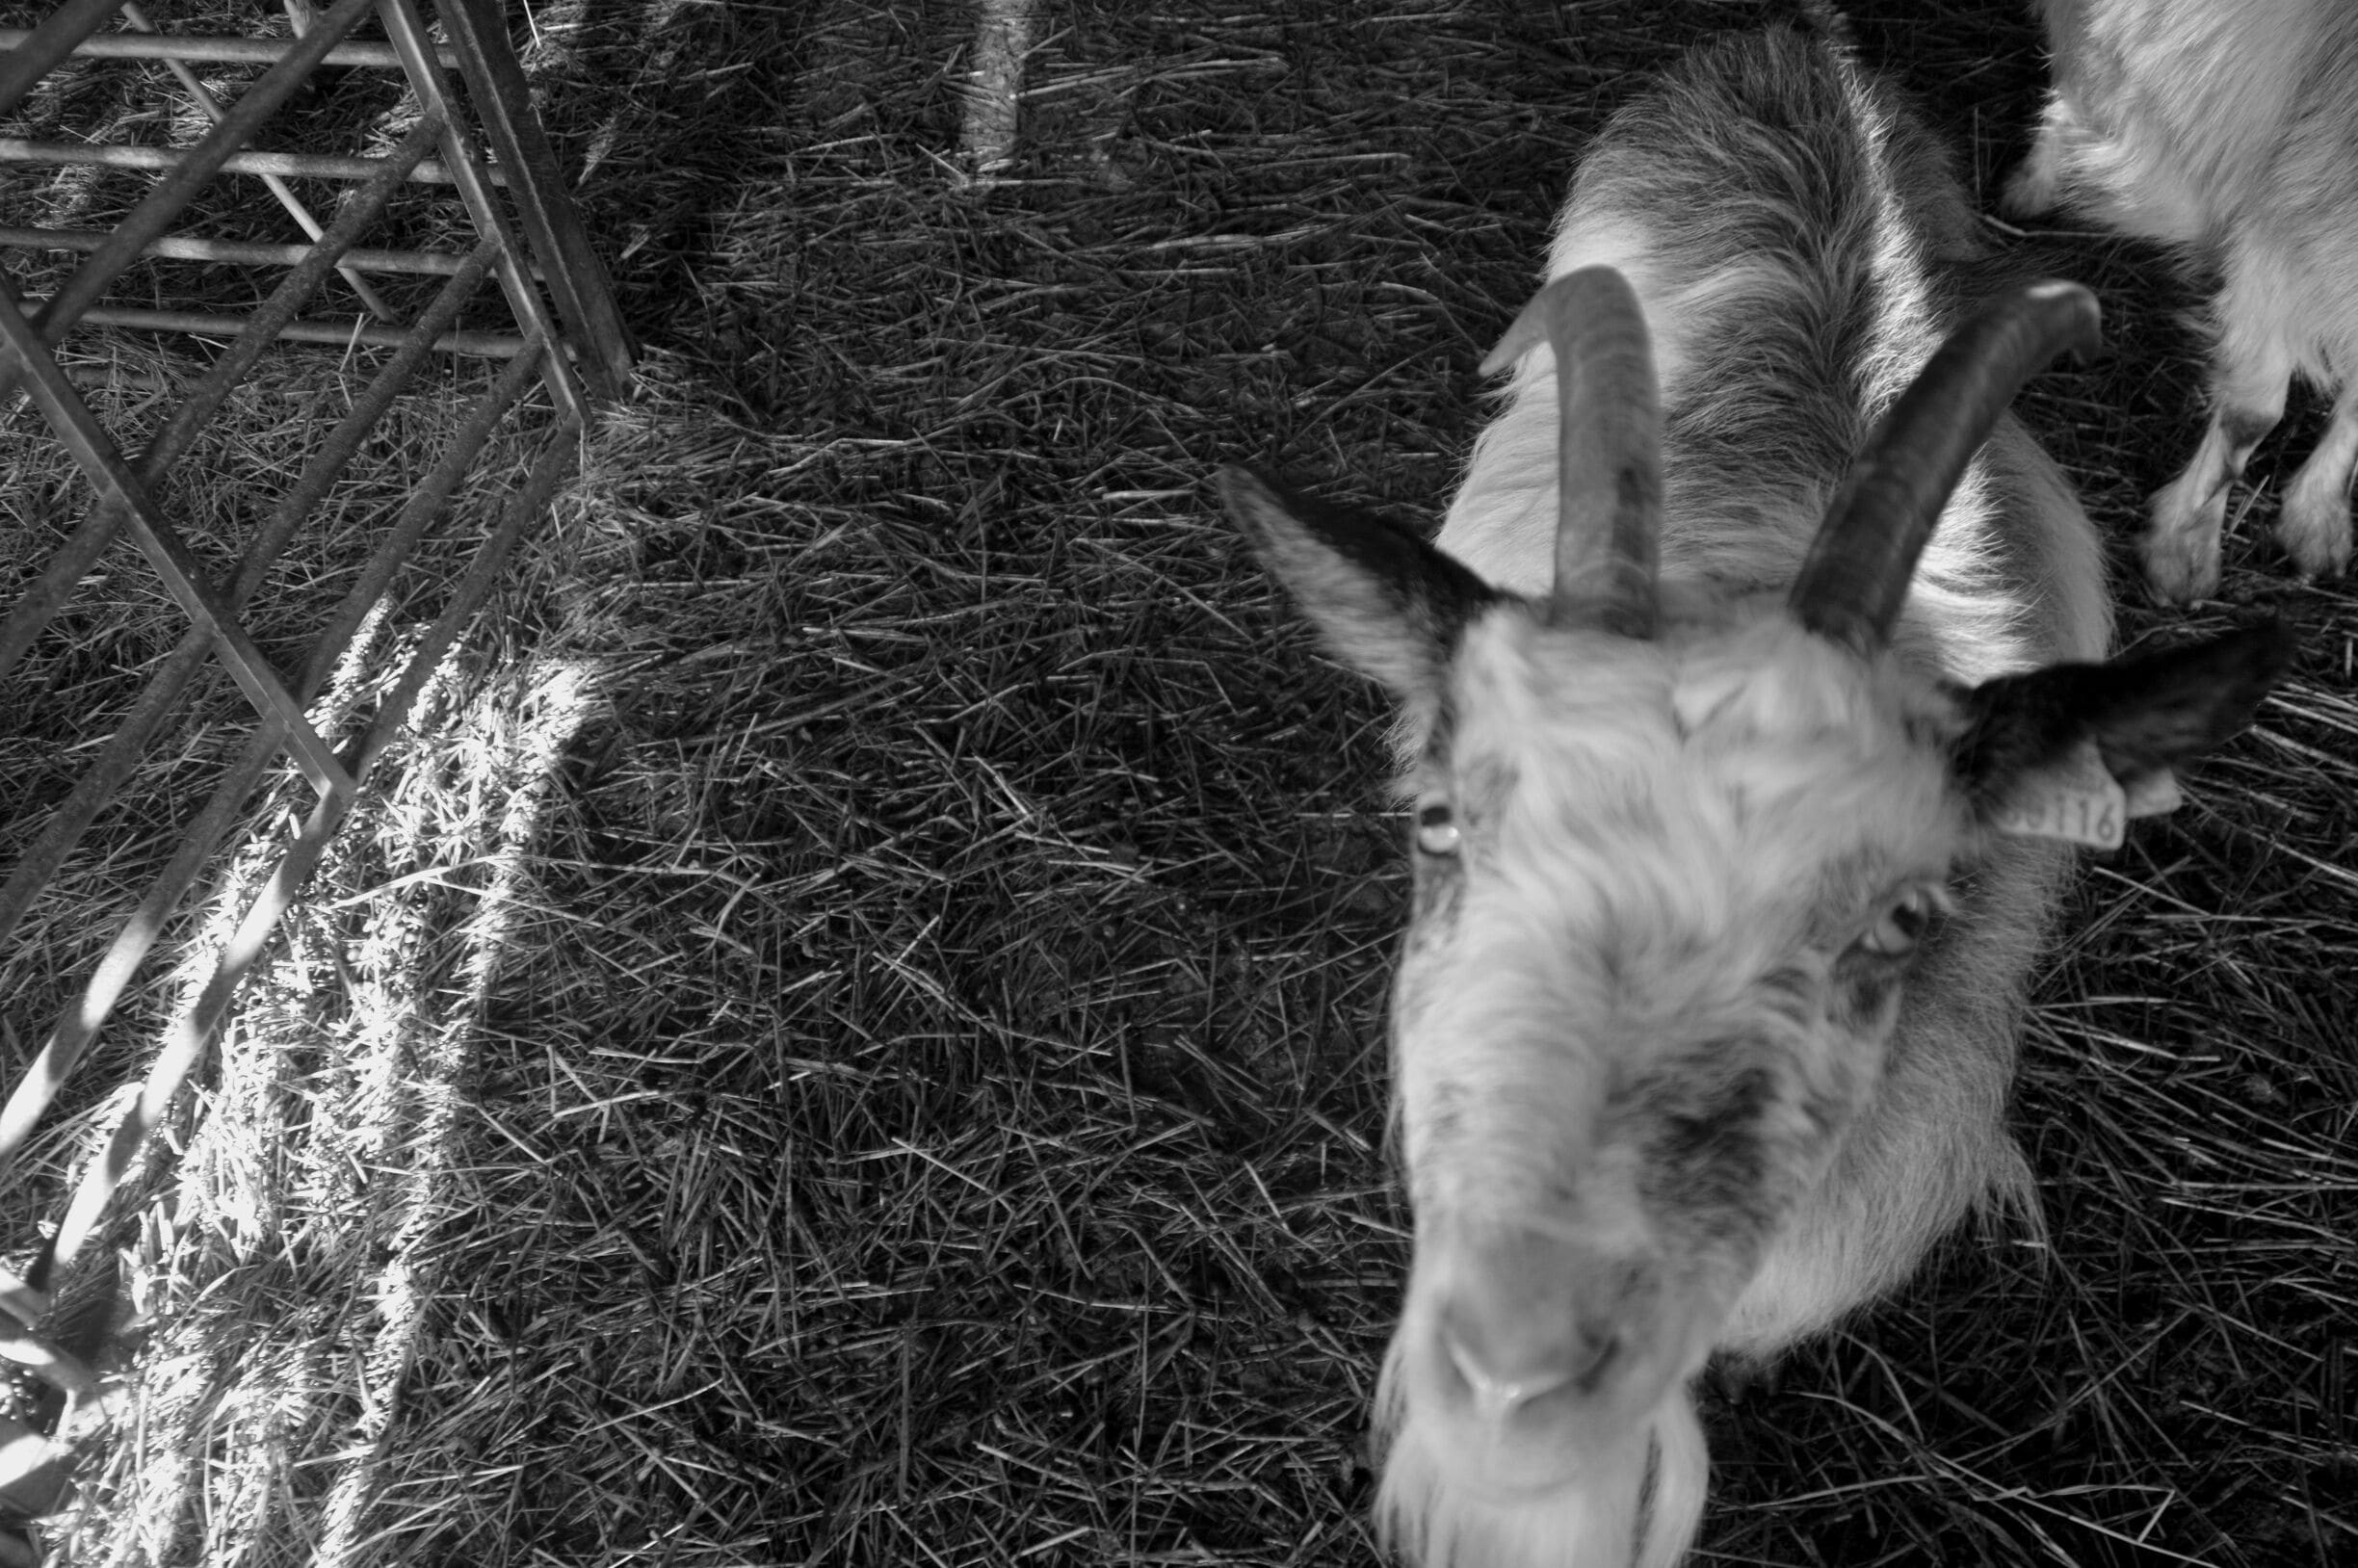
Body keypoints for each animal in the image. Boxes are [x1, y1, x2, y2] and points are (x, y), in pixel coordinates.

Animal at [2003, 0, 2358, 601]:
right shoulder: (2279, 242)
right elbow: (2251, 416)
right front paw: (2181, 548)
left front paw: (2315, 519)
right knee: (2075, 80)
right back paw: (2033, 186)